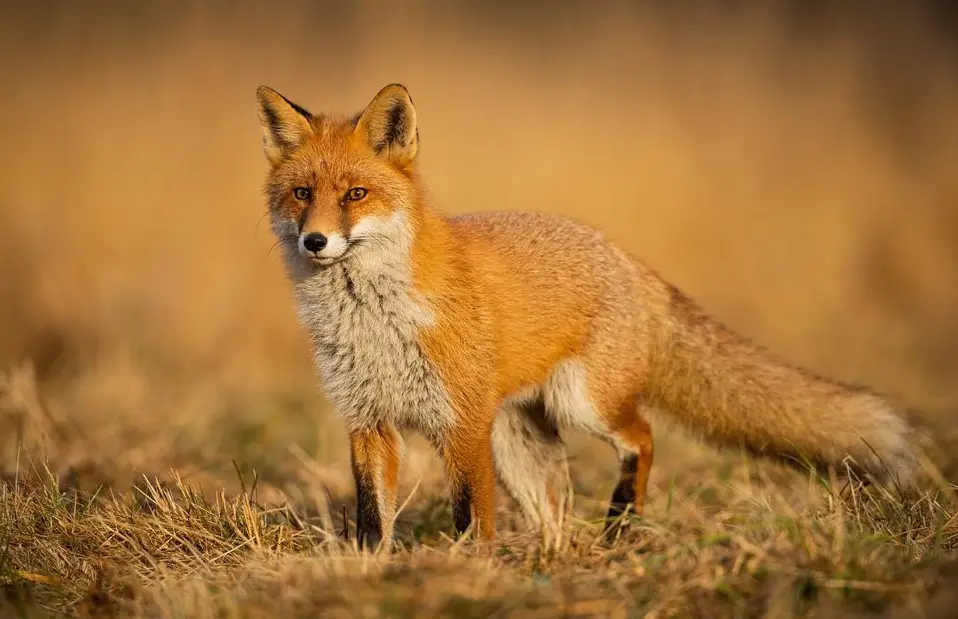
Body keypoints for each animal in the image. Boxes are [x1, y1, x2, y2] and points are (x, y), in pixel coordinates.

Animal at [255, 83, 924, 552]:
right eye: (301, 195)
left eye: (356, 195)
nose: (315, 241)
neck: (374, 323)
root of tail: (628, 258)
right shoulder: (367, 419)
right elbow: (372, 517)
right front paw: (372, 570)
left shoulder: (462, 423)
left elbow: (472, 514)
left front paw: (469, 569)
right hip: (521, 440)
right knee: (556, 505)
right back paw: (555, 560)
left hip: (583, 404)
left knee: (644, 437)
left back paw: (620, 525)